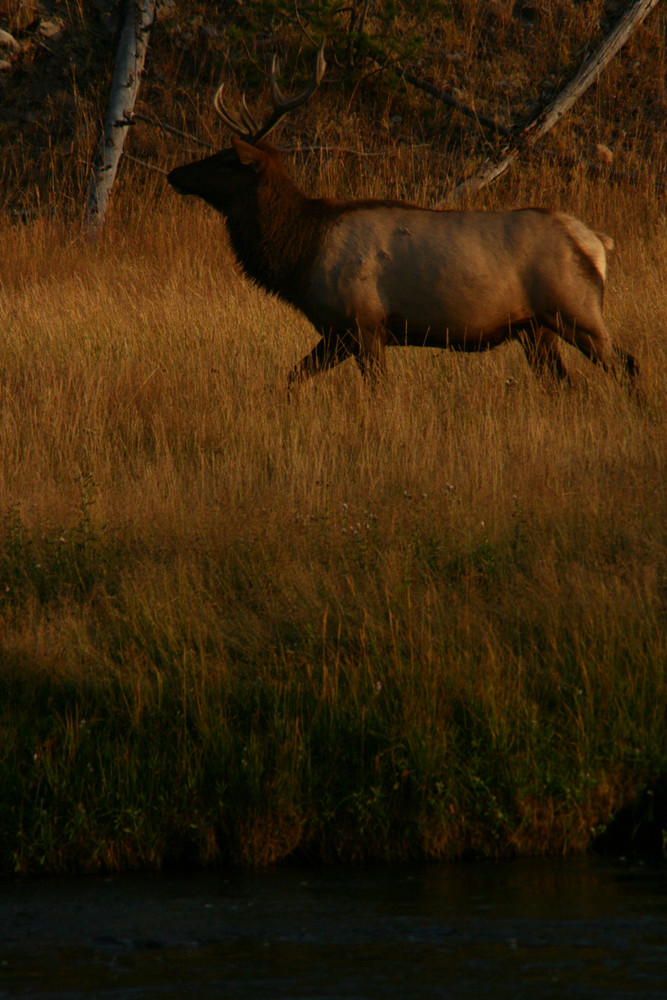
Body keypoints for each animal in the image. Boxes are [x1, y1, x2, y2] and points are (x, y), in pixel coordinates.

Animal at [167, 47, 636, 390]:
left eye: (227, 160)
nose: (174, 173)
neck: (301, 254)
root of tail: (596, 242)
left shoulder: (364, 323)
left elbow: (377, 392)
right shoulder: (337, 333)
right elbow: (291, 378)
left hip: (576, 309)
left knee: (626, 364)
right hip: (535, 328)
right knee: (566, 383)